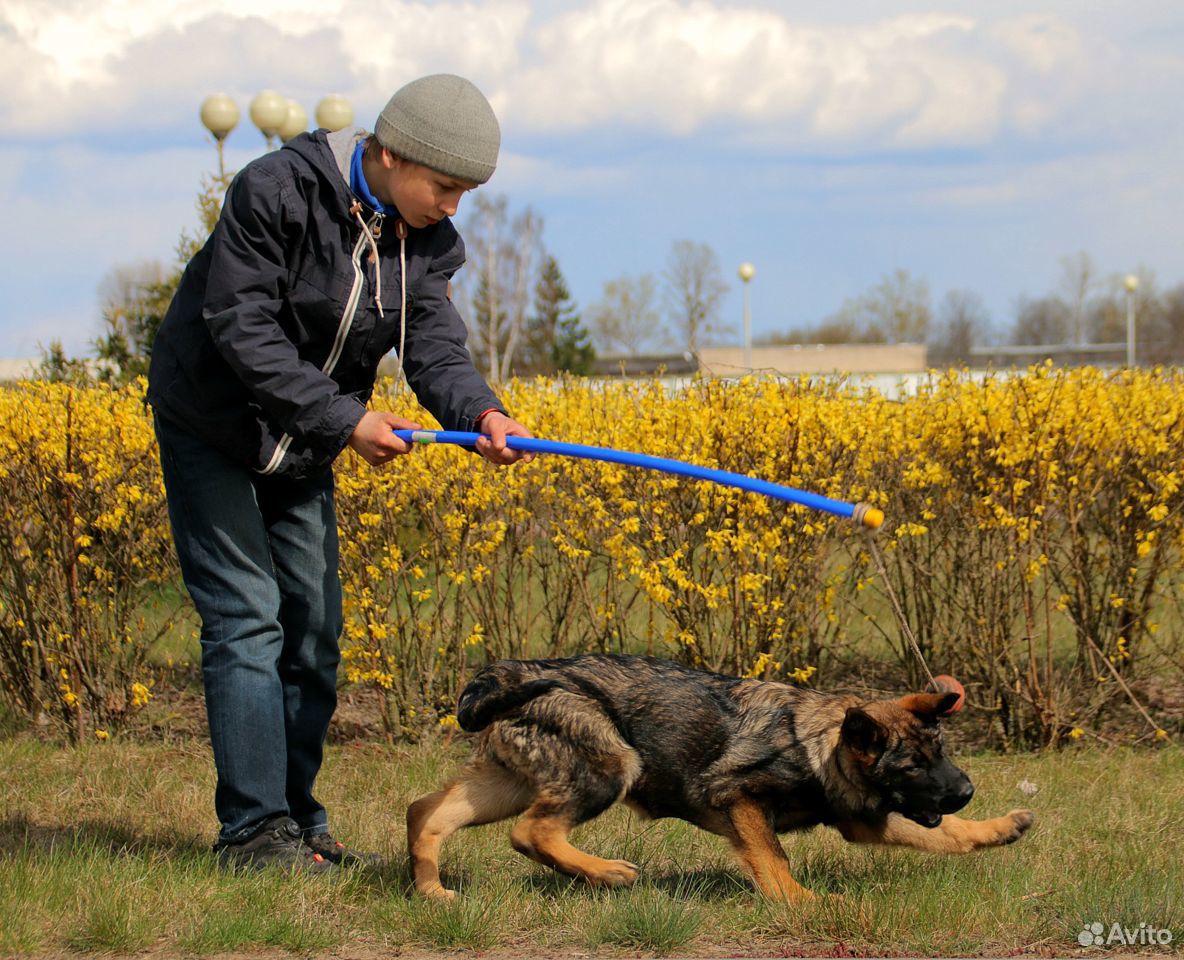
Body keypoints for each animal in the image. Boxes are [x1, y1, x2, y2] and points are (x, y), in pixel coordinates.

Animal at [409, 653, 1037, 899]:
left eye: (942, 751)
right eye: (912, 764)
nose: (967, 791)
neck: (817, 746)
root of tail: (510, 675)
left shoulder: (866, 821)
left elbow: (947, 835)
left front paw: (999, 827)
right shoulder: (739, 798)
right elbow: (774, 861)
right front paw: (803, 903)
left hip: (508, 782)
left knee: (425, 811)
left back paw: (431, 889)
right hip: (611, 766)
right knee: (531, 833)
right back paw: (607, 872)